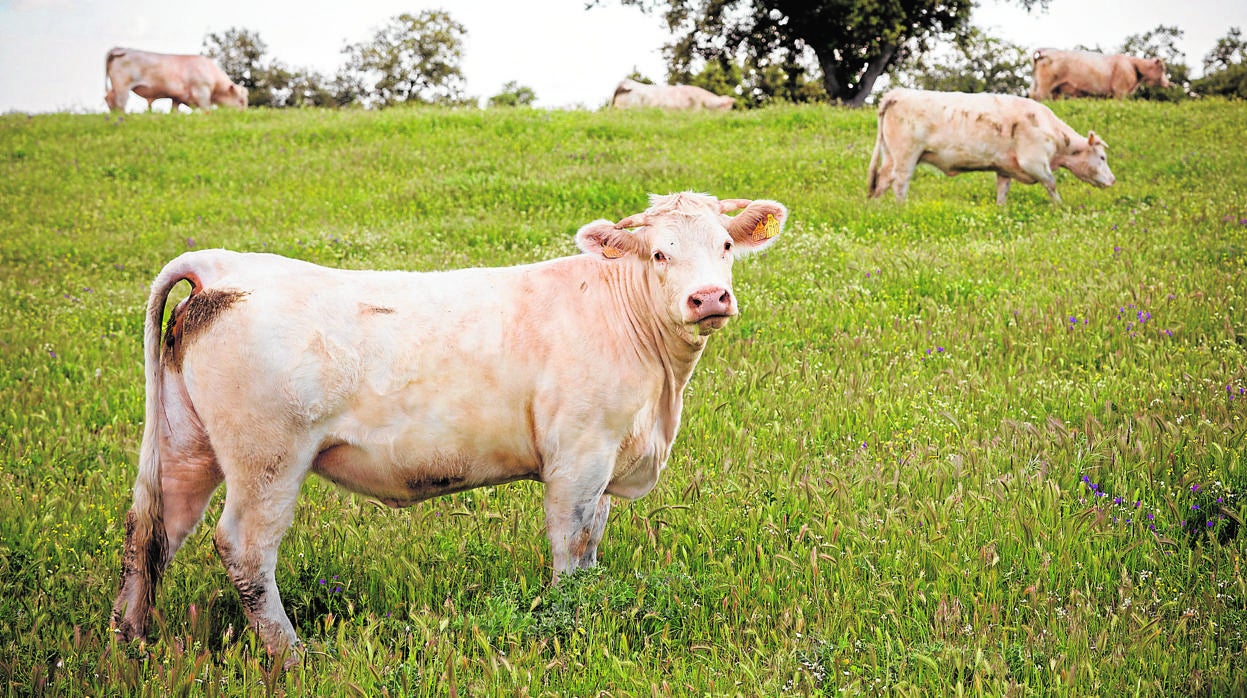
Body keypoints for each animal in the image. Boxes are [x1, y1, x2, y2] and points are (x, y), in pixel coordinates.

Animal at [106, 47, 248, 112]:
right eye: (241, 101)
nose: (244, 113)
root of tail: (119, 49)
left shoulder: (177, 98)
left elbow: (173, 111)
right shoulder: (202, 92)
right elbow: (206, 109)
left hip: (115, 86)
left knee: (109, 98)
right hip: (122, 85)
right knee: (120, 102)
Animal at [1027, 48, 1162, 100]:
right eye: (1162, 68)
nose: (1167, 84)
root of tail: (1046, 50)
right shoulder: (1120, 91)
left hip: (1052, 88)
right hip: (1044, 85)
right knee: (1038, 98)